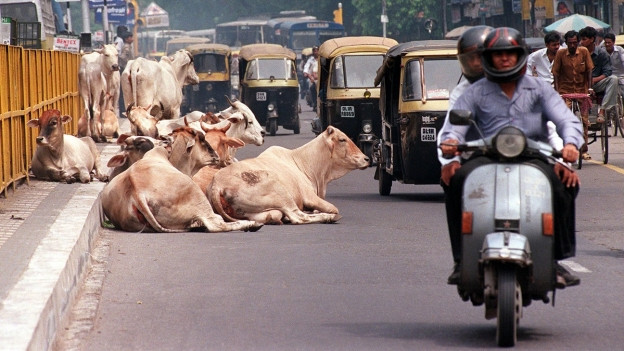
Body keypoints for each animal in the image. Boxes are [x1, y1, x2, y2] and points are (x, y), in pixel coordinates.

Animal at [208, 127, 370, 226]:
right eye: (342, 139)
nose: (366, 159)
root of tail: (217, 185)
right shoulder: (309, 196)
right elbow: (332, 208)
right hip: (281, 192)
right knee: (298, 217)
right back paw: (328, 218)